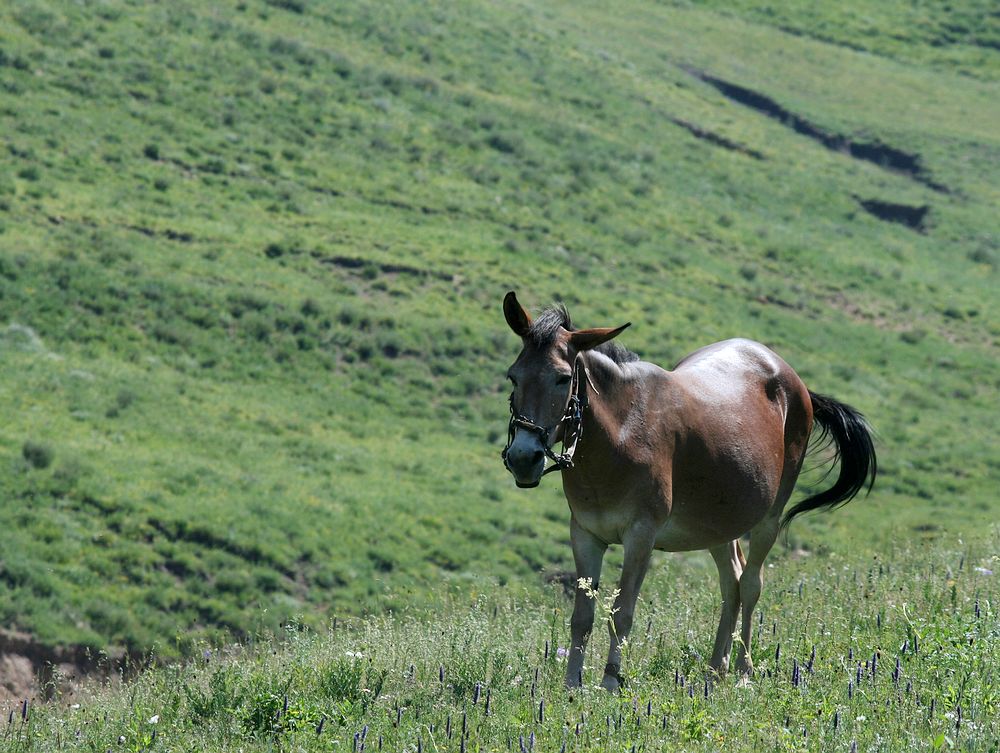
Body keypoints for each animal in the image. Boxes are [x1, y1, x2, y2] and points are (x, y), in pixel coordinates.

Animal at [500, 290, 876, 692]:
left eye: (563, 378)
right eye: (513, 376)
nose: (523, 457)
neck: (620, 434)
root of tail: (795, 382)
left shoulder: (641, 536)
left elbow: (621, 614)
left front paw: (611, 683)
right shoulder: (585, 535)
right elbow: (582, 617)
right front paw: (572, 686)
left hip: (769, 518)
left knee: (751, 584)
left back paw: (743, 671)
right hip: (718, 526)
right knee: (732, 583)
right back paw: (715, 669)